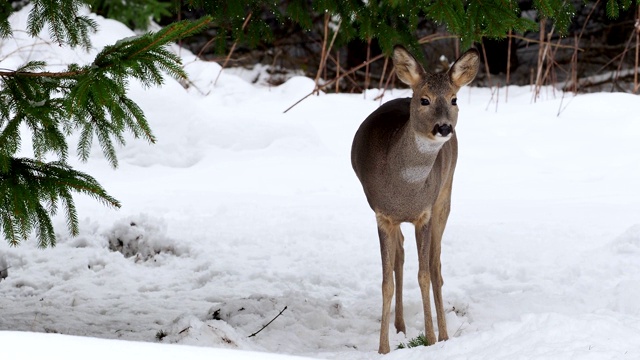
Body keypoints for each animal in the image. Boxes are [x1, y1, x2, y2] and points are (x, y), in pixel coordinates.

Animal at [350, 45, 480, 354]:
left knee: (435, 266)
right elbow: (386, 281)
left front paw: (431, 340)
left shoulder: (425, 212)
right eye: (424, 100)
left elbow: (423, 275)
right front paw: (383, 349)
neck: (405, 189)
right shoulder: (383, 215)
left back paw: (444, 334)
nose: (444, 128)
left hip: (445, 195)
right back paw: (400, 326)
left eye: (454, 99)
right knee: (401, 255)